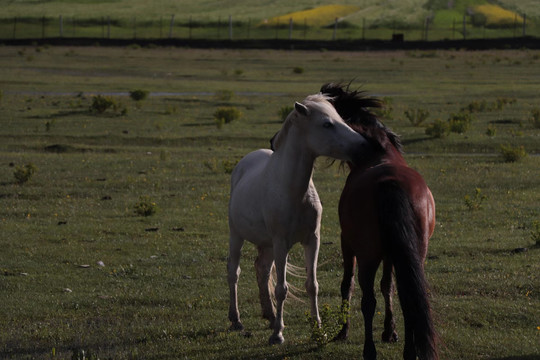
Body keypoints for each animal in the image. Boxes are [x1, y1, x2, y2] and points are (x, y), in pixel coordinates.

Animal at [227, 94, 372, 344]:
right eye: (327, 124)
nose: (364, 147)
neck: (293, 191)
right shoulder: (281, 243)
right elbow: (282, 289)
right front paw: (278, 334)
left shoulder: (312, 240)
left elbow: (311, 285)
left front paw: (318, 330)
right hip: (237, 236)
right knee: (234, 272)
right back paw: (236, 320)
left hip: (267, 245)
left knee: (262, 270)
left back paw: (269, 315)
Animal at [322, 83, 436, 360]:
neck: (379, 153)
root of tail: (390, 183)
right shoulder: (393, 253)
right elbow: (389, 286)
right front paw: (390, 332)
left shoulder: (347, 242)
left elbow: (348, 284)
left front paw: (342, 332)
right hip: (413, 253)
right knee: (408, 298)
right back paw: (409, 353)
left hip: (367, 255)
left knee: (367, 300)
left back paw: (369, 350)